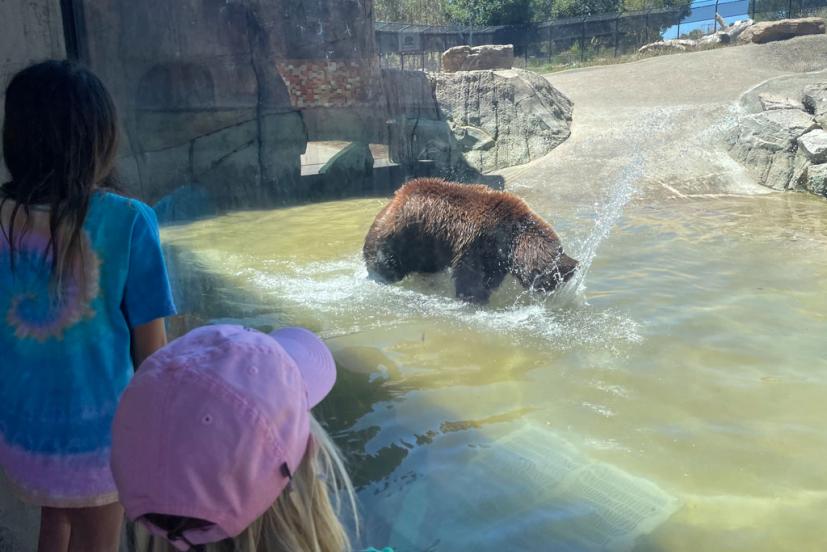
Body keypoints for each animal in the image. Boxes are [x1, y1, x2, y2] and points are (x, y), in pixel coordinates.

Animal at [366, 179, 580, 302]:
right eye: (553, 281)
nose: (549, 295)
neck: (513, 238)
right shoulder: (479, 241)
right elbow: (470, 275)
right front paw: (474, 297)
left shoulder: (496, 254)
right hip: (400, 237)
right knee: (387, 263)